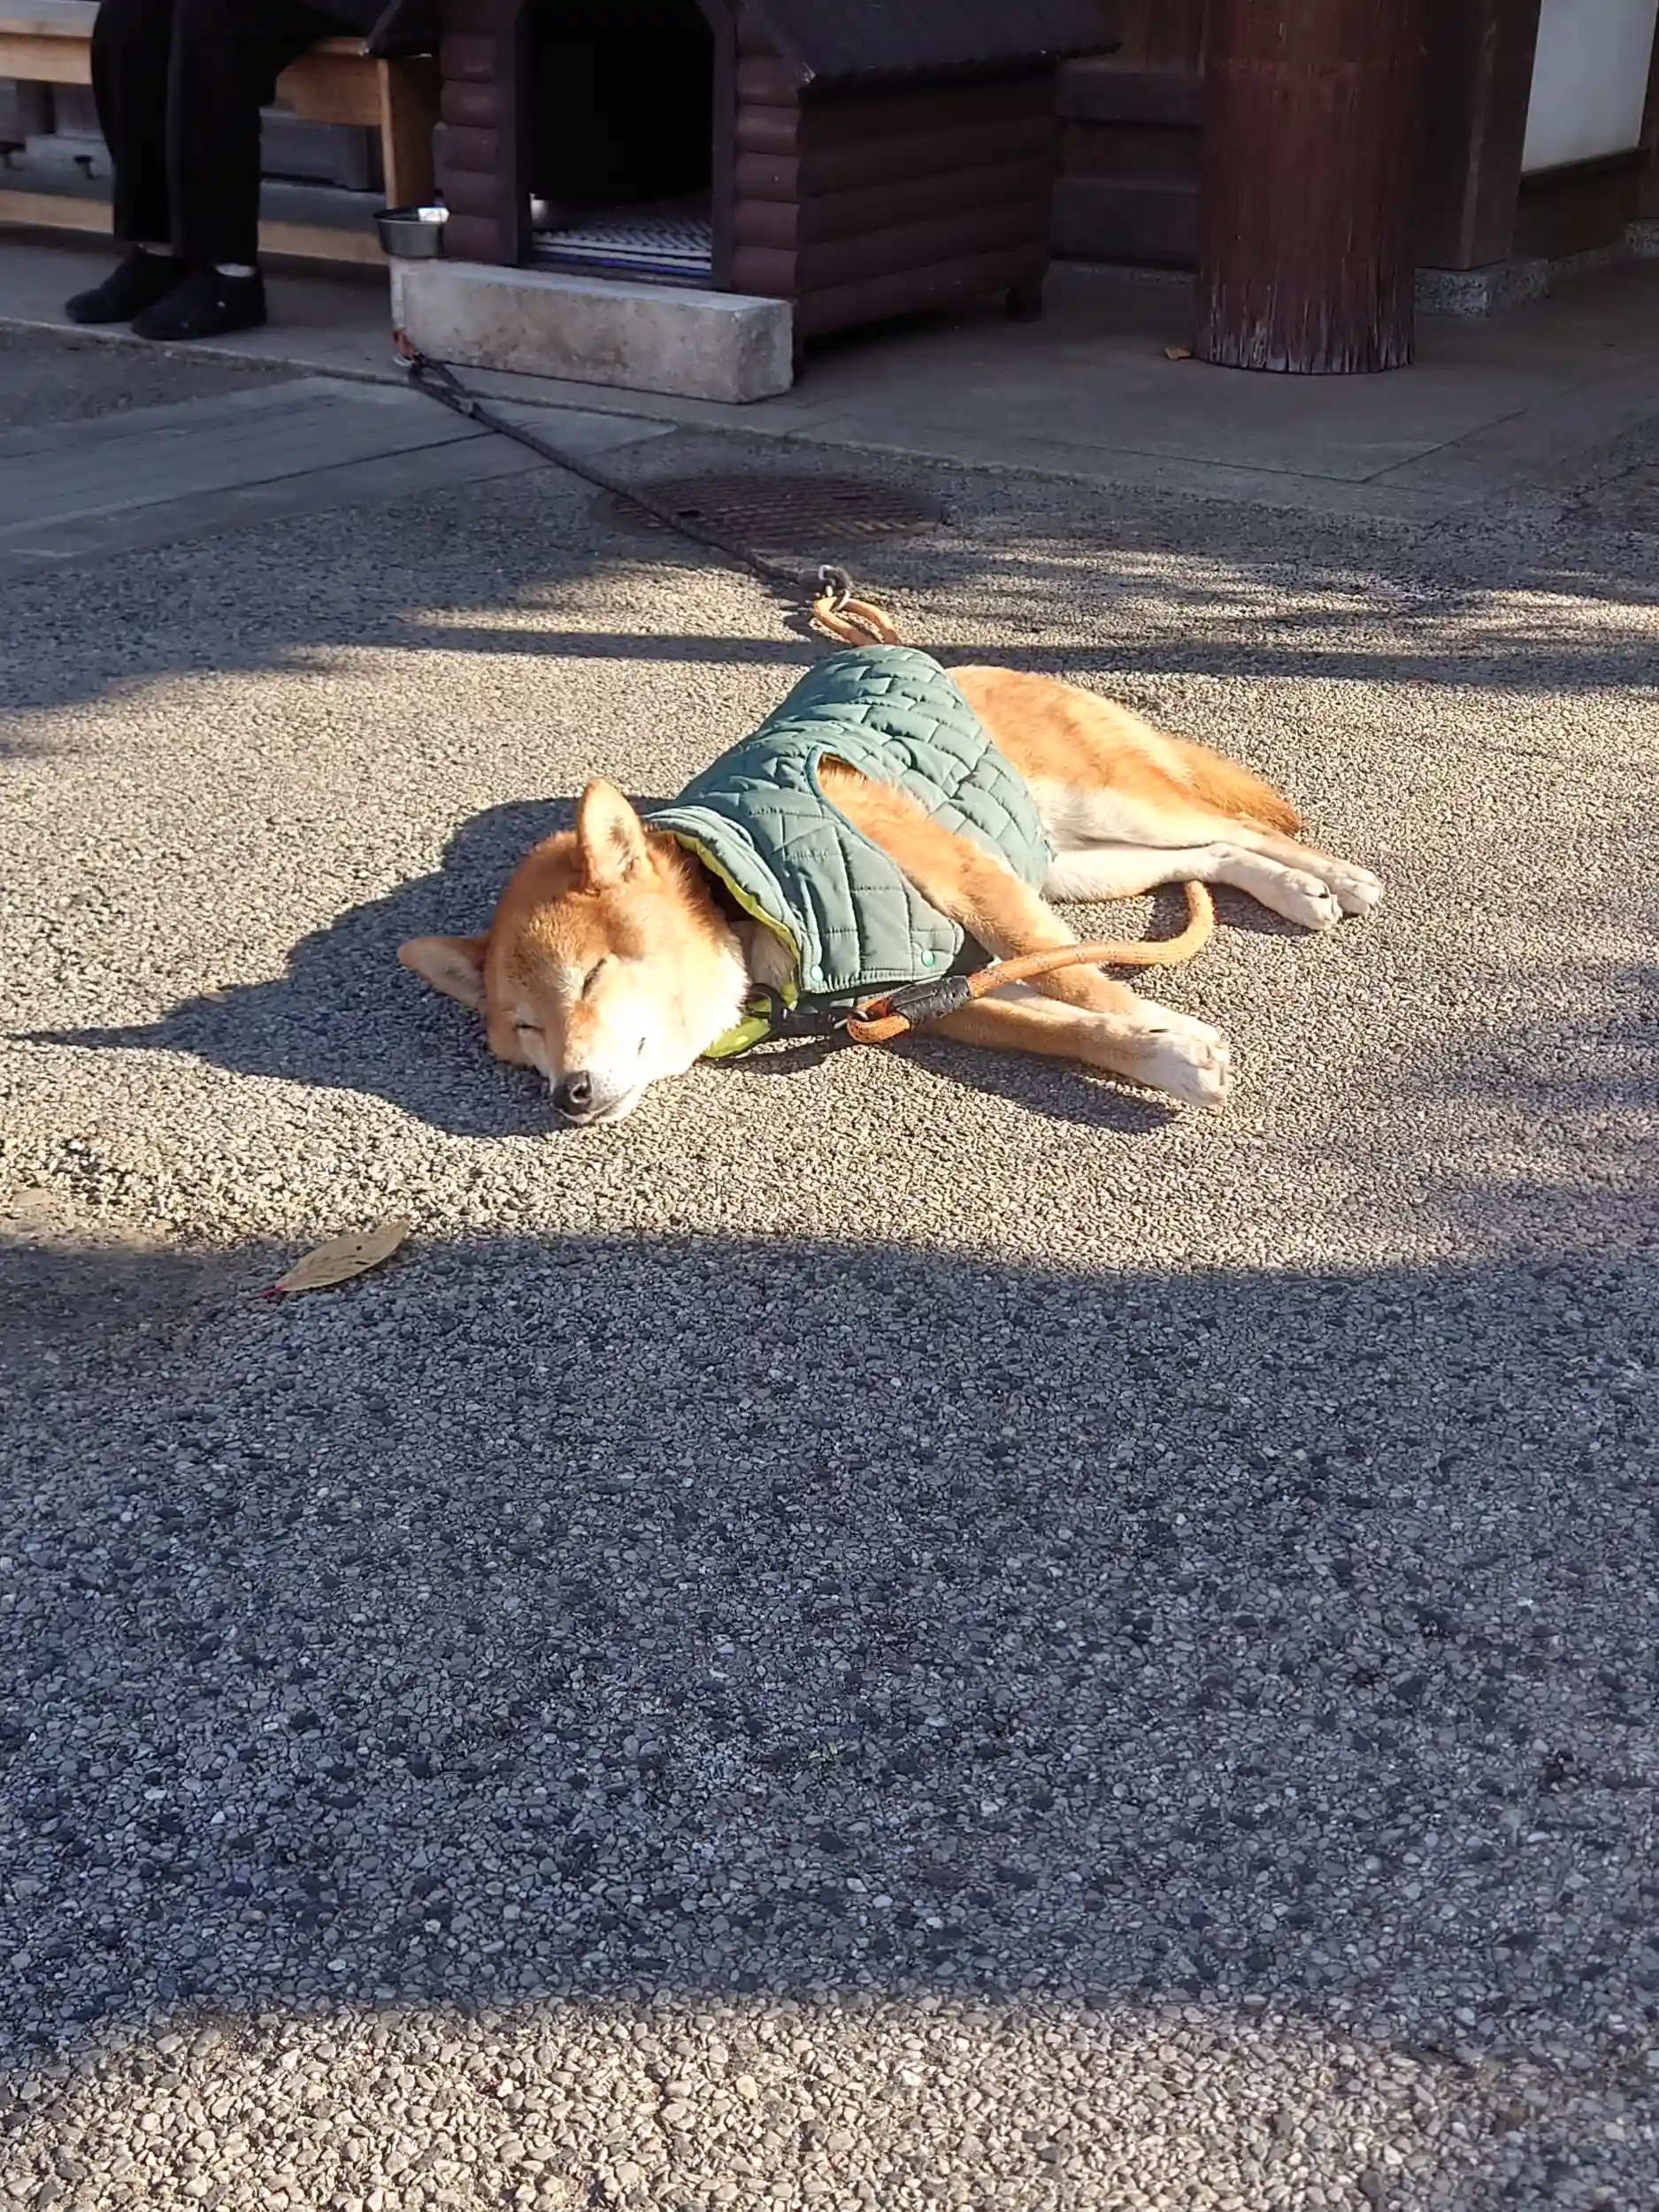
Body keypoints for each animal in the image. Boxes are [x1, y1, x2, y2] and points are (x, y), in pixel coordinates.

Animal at [399, 651, 1382, 1127]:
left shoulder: (971, 887)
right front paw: (1165, 1056)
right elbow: (1067, 1027)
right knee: (1210, 854)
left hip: (1097, 814)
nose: (564, 1092)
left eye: (593, 978)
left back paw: (1336, 876)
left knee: (1237, 827)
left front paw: (1168, 1028)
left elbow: (1079, 981)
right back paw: (1294, 891)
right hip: (1071, 858)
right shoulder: (914, 995)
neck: (746, 895)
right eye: (524, 1033)